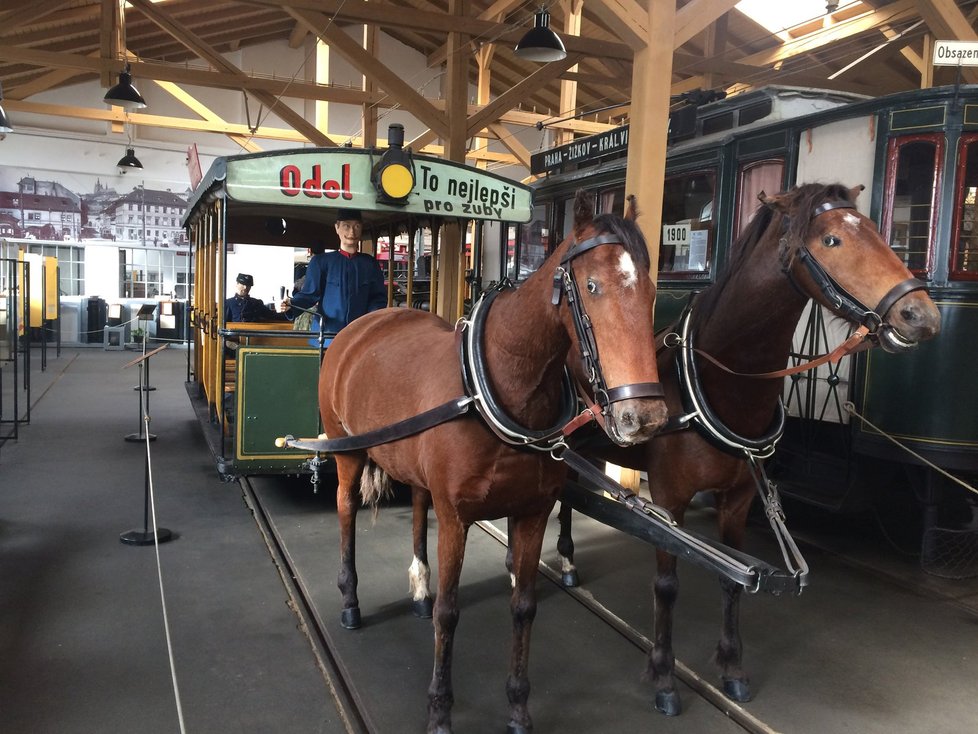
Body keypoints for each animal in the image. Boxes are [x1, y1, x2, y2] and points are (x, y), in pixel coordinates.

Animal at [316, 191, 668, 734]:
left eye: (651, 291)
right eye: (592, 287)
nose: (645, 416)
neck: (500, 387)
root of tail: (365, 324)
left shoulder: (532, 513)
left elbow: (523, 607)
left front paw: (519, 707)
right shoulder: (456, 517)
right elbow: (449, 613)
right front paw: (440, 709)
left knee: (417, 505)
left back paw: (417, 589)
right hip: (347, 451)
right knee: (346, 511)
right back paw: (351, 600)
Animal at [552, 181, 940, 716]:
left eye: (878, 231)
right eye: (832, 240)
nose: (921, 315)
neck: (720, 384)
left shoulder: (739, 499)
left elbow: (732, 581)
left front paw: (732, 669)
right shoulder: (669, 500)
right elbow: (667, 585)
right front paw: (664, 677)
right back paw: (567, 563)